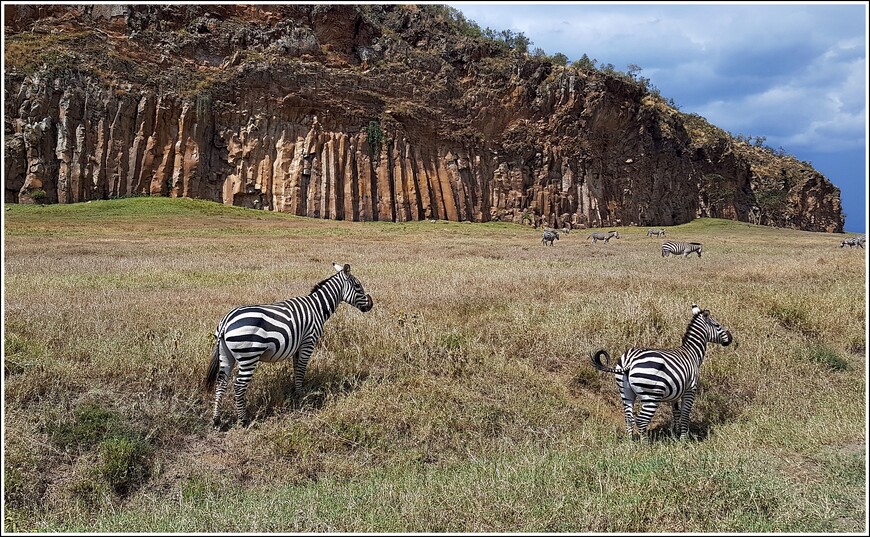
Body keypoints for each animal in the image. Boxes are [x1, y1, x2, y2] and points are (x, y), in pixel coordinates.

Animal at [209, 262, 378, 426]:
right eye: (358, 285)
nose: (371, 304)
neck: (317, 308)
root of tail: (226, 321)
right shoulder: (308, 341)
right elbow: (302, 369)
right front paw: (301, 395)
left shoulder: (298, 345)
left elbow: (296, 368)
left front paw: (295, 391)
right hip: (249, 356)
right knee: (238, 387)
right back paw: (244, 420)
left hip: (226, 355)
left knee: (221, 383)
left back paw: (216, 420)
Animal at [592, 304, 736, 442]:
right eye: (717, 325)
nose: (731, 338)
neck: (692, 353)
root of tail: (630, 360)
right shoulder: (690, 389)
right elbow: (685, 415)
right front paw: (683, 440)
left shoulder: (676, 392)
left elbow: (676, 413)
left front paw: (676, 434)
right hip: (651, 395)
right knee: (641, 420)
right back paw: (644, 445)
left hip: (625, 392)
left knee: (628, 418)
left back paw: (630, 442)